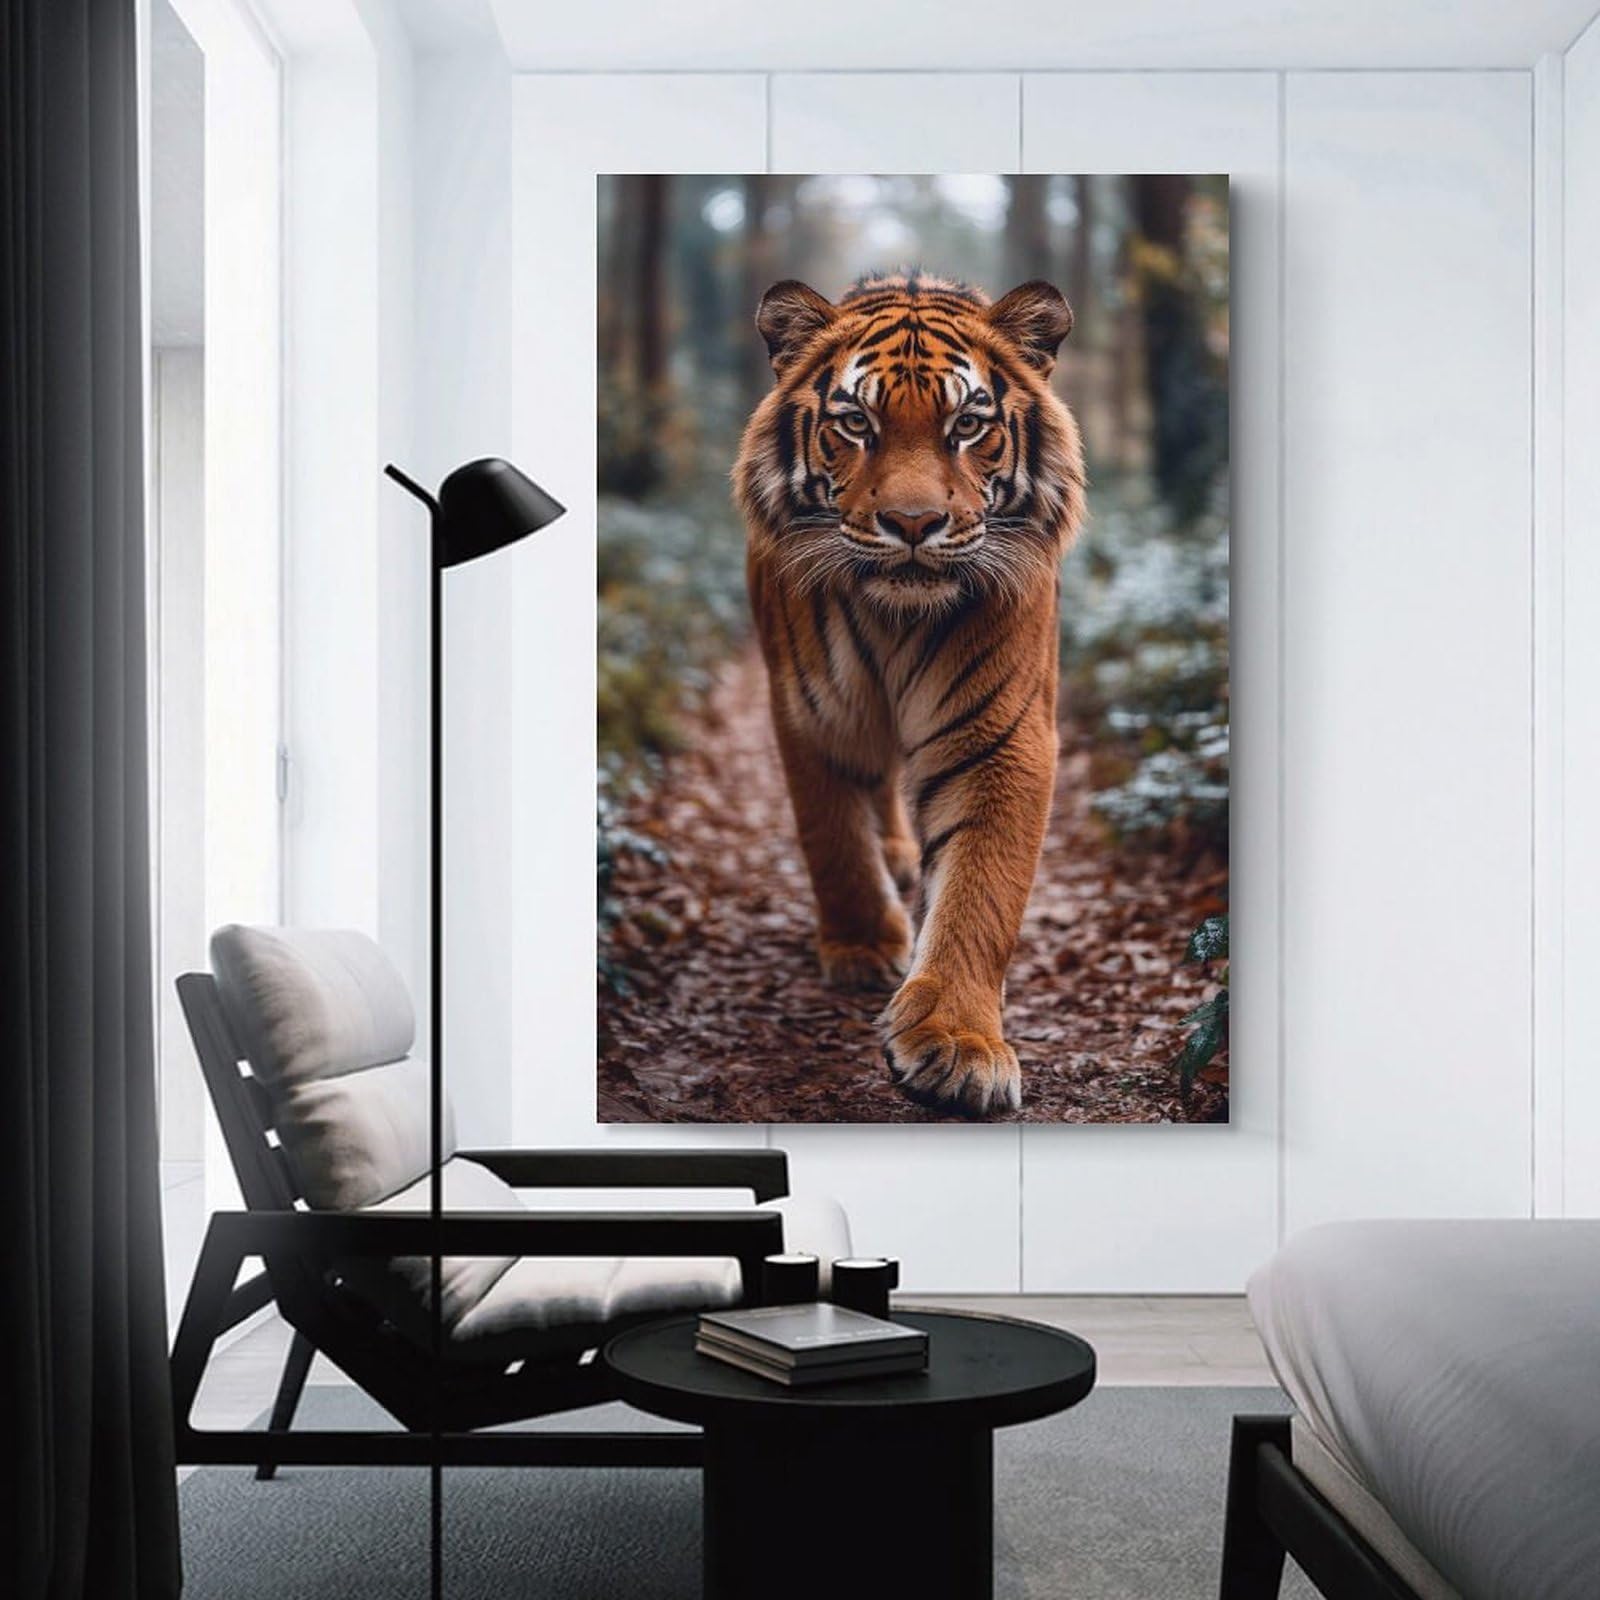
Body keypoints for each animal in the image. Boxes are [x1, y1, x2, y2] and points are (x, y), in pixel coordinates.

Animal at [733, 270, 1086, 1116]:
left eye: (968, 425)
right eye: (856, 423)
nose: (914, 523)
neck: (898, 615)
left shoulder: (1003, 735)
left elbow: (981, 892)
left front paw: (958, 1044)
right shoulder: (813, 712)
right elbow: (832, 838)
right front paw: (863, 946)